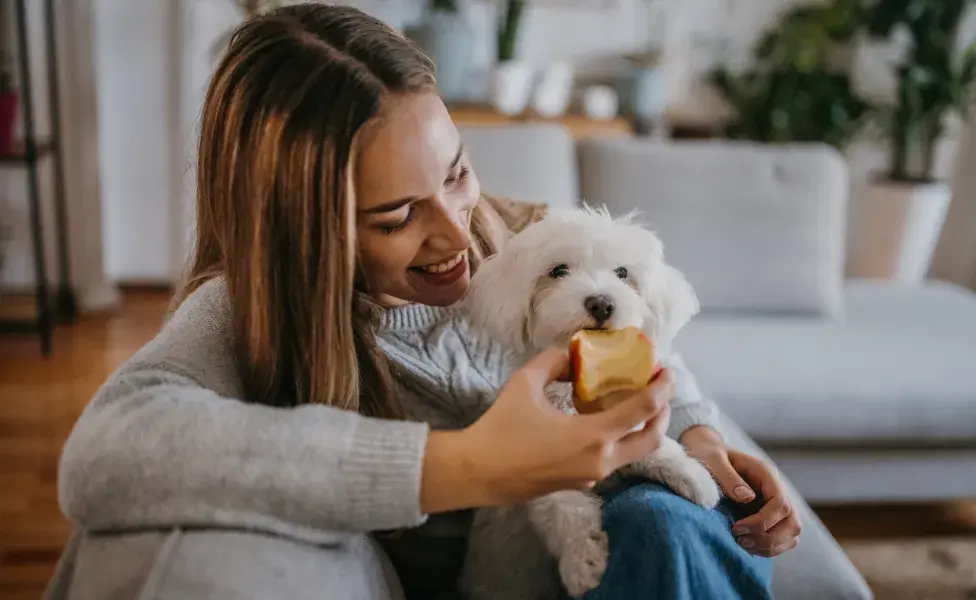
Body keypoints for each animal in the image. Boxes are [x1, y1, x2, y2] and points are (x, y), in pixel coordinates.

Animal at [456, 206, 716, 600]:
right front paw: (583, 561)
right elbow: (566, 509)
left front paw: (693, 476)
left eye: (622, 273)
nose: (601, 302)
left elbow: (653, 443)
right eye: (558, 271)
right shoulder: (536, 457)